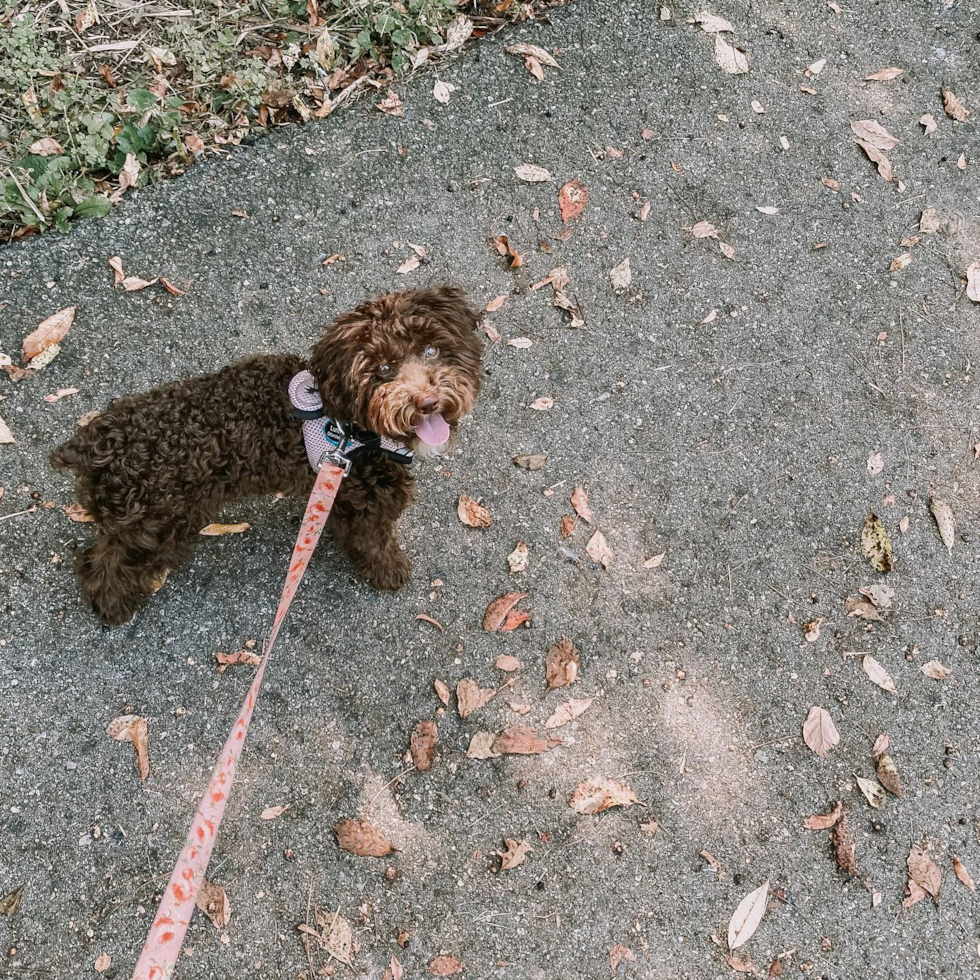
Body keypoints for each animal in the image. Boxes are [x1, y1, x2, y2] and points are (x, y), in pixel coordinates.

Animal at [51, 284, 484, 624]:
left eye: (432, 350)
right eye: (383, 369)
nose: (428, 403)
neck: (353, 427)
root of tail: (93, 444)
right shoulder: (366, 506)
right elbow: (374, 544)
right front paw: (390, 571)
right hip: (153, 529)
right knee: (107, 565)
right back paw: (113, 605)